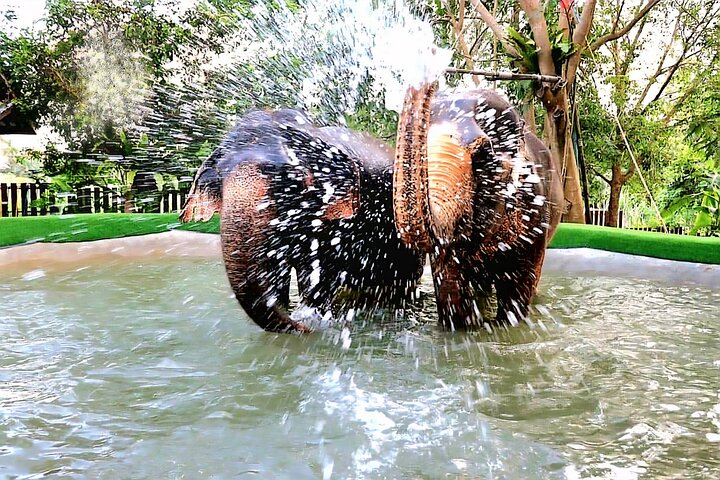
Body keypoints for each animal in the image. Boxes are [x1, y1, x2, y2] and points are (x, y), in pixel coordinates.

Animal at [180, 108, 424, 333]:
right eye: (220, 178)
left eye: (291, 179)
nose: (304, 329)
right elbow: (274, 268)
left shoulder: (336, 219)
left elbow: (320, 272)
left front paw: (312, 317)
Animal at [393, 82, 563, 331]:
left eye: (484, 155)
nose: (428, 80)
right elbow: (451, 288)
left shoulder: (534, 209)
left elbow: (518, 285)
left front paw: (507, 325)